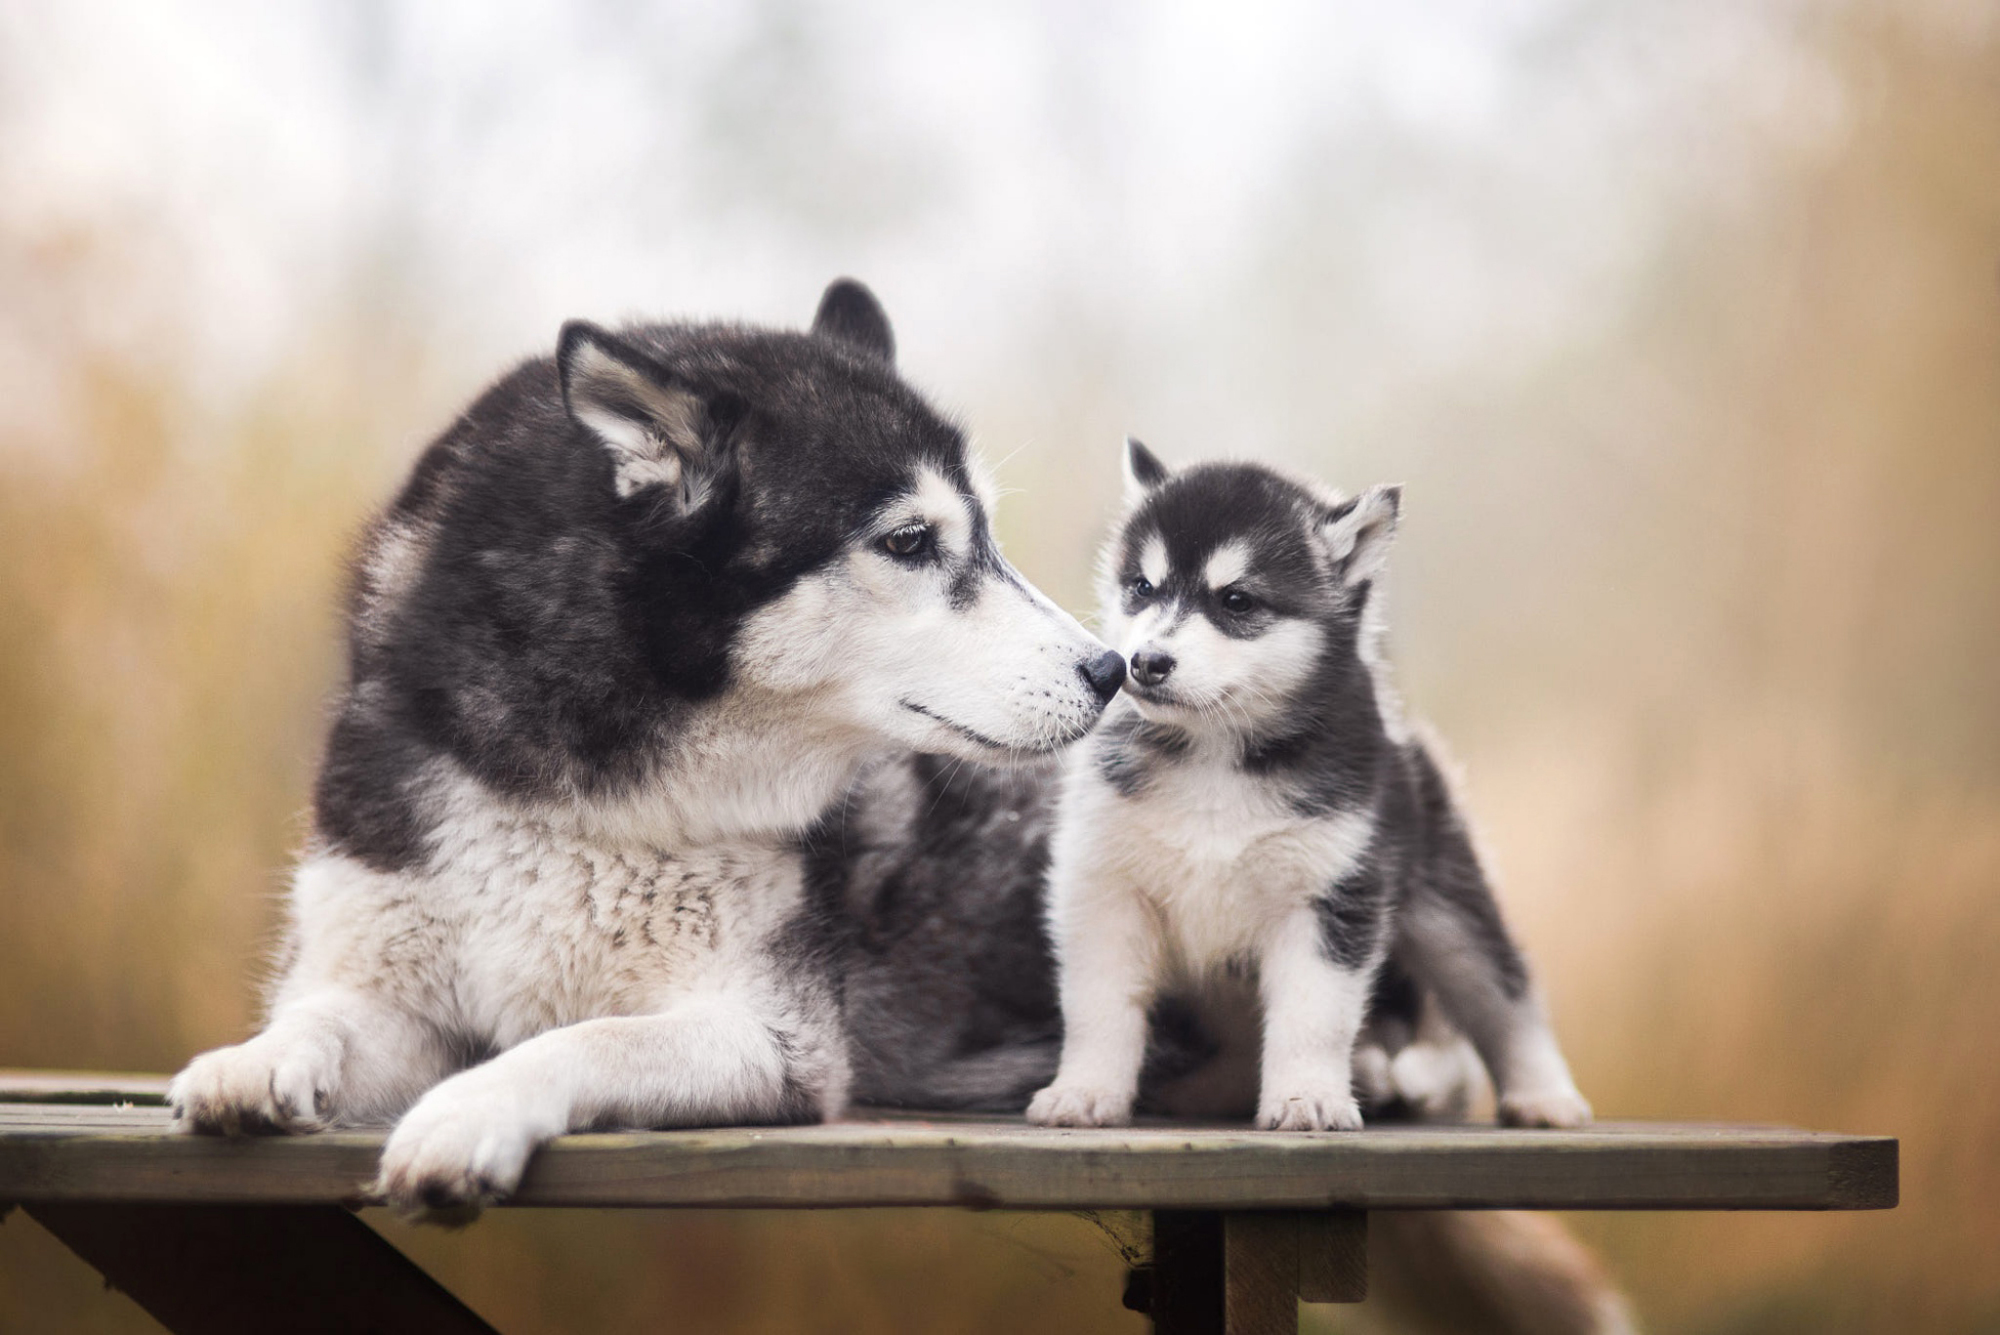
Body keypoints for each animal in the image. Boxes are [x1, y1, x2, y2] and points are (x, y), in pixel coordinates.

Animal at [172, 279, 1128, 1207]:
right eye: (909, 541)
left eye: (988, 535)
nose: (1109, 669)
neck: (577, 794)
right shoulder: (382, 980)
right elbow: (319, 1014)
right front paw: (252, 1061)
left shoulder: (780, 1037)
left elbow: (585, 1037)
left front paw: (465, 1114)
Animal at [1024, 443, 1584, 1135]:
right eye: (1142, 588)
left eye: (1237, 600)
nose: (1145, 662)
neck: (1216, 755)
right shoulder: (1104, 888)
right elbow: (1100, 1005)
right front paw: (1084, 1091)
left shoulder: (1330, 899)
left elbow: (1312, 1016)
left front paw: (1307, 1098)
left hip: (1448, 908)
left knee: (1501, 991)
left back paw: (1545, 1095)